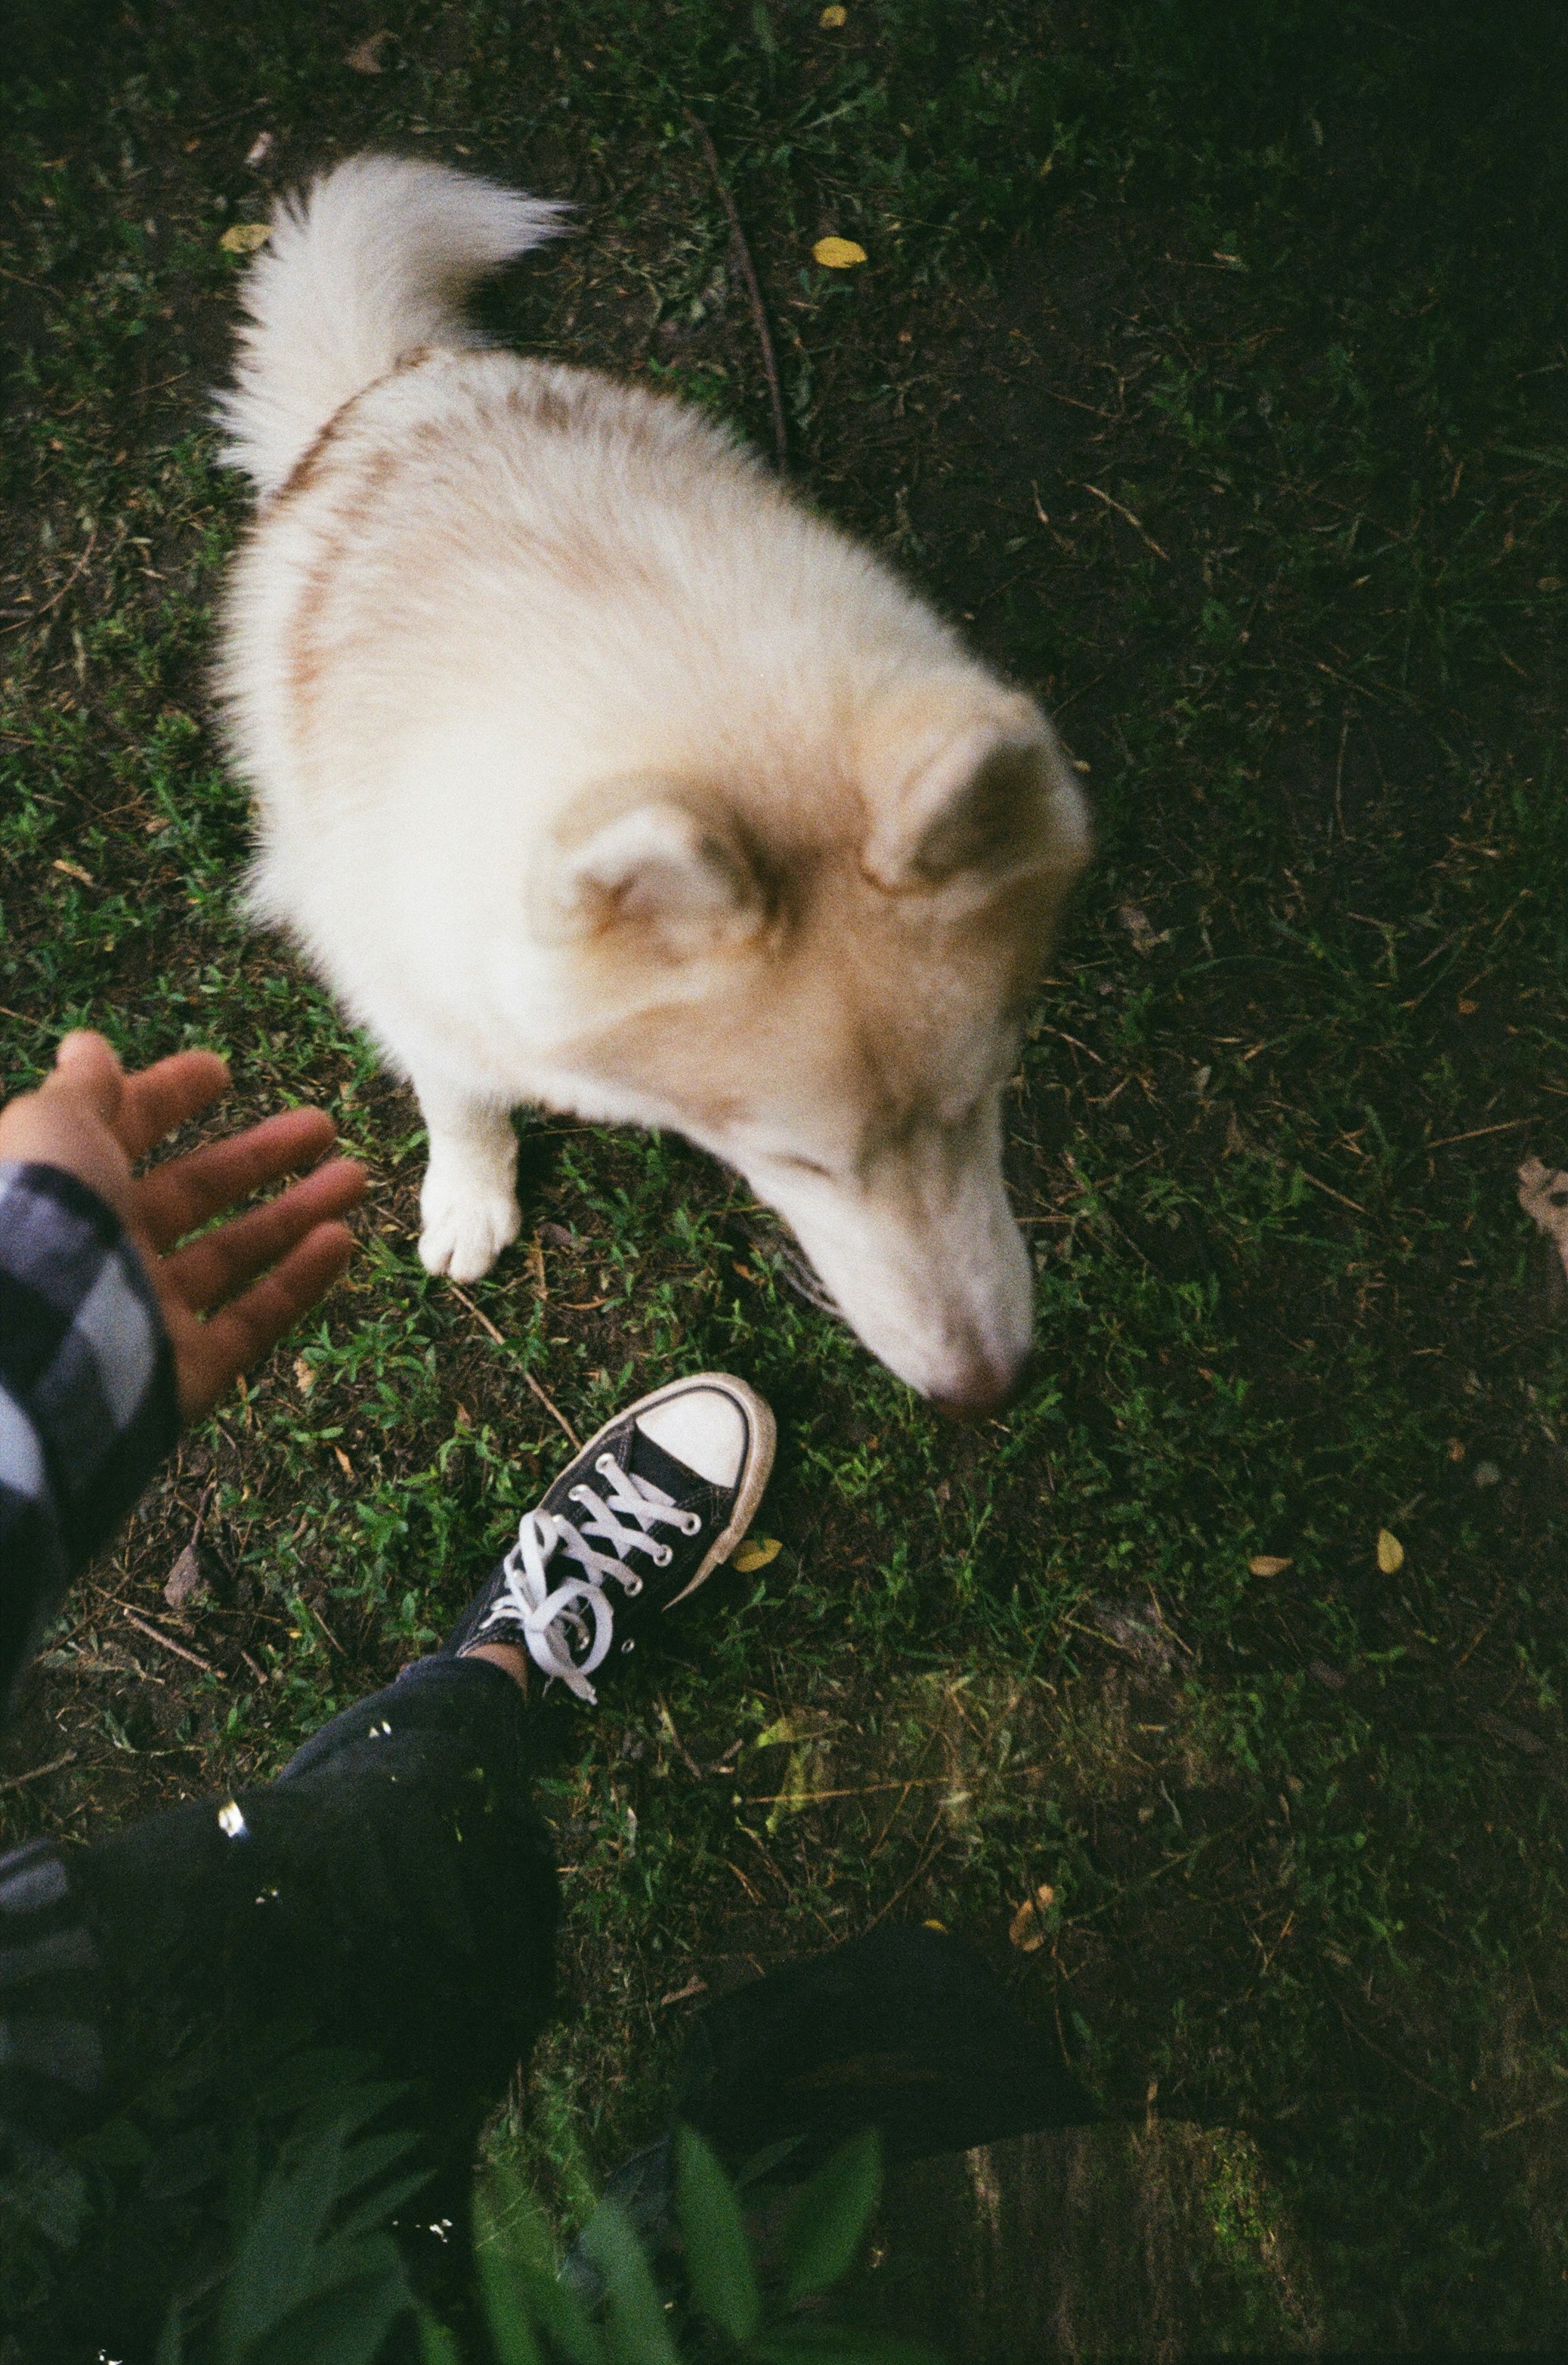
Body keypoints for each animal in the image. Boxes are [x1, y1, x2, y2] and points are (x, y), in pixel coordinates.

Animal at [215, 152, 1087, 1399]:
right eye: (795, 1162)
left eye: (985, 1099)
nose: (987, 1388)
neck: (697, 701)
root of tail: (406, 375)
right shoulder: (409, 971)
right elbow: (459, 1097)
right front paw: (468, 1196)